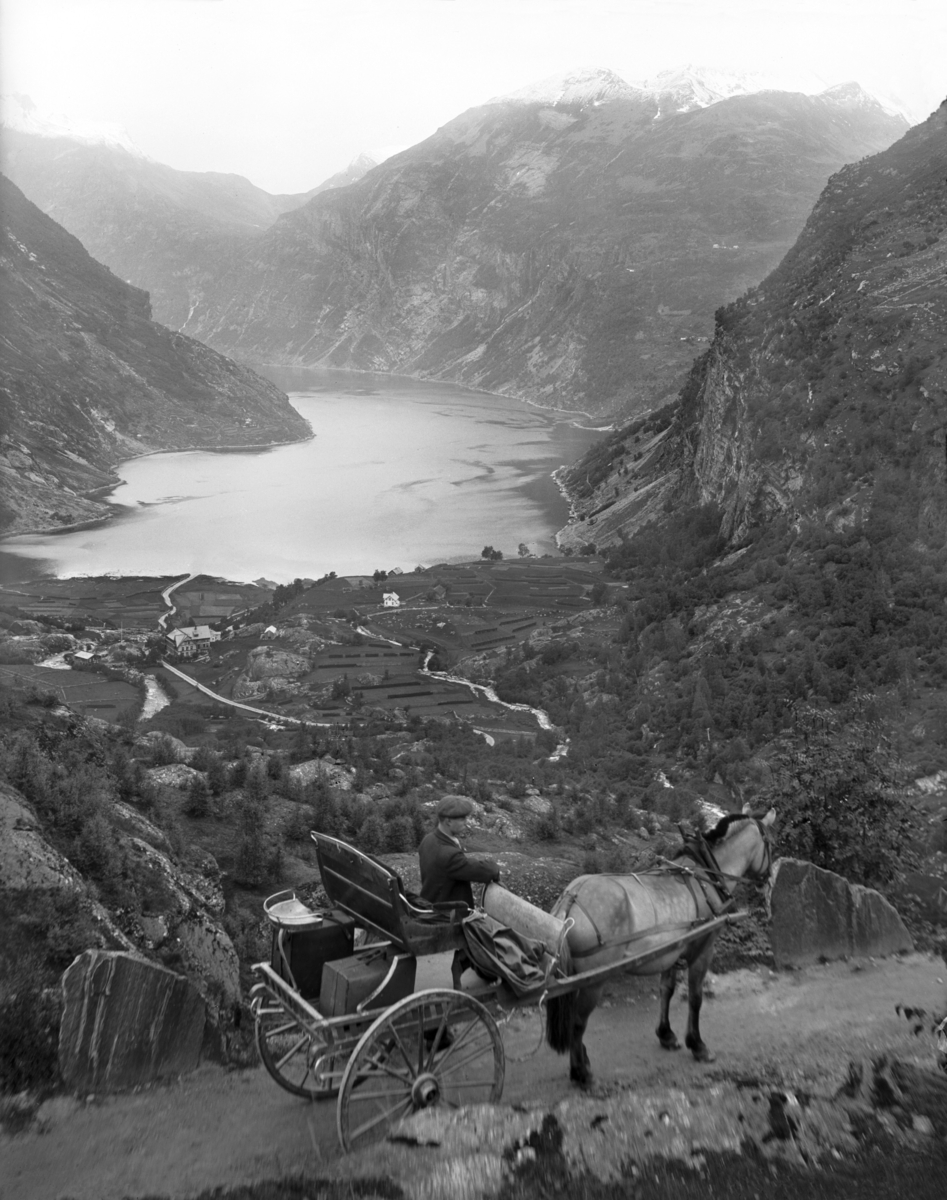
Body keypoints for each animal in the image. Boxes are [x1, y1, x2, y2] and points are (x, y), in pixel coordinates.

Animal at [542, 806, 772, 1089]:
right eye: (770, 843)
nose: (767, 879)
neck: (706, 876)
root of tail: (570, 897)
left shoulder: (672, 950)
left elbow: (667, 990)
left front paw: (666, 1034)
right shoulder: (703, 948)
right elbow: (695, 997)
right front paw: (697, 1045)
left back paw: (582, 1059)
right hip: (592, 981)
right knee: (577, 1022)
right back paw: (580, 1072)